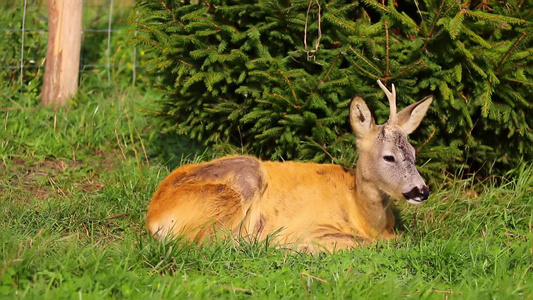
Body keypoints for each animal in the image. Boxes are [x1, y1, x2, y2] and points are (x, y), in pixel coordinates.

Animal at [145, 80, 432, 253]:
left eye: (413, 153)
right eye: (388, 157)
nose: (422, 190)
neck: (365, 217)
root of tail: (153, 217)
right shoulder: (318, 226)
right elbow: (362, 242)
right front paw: (302, 245)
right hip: (242, 179)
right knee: (208, 242)